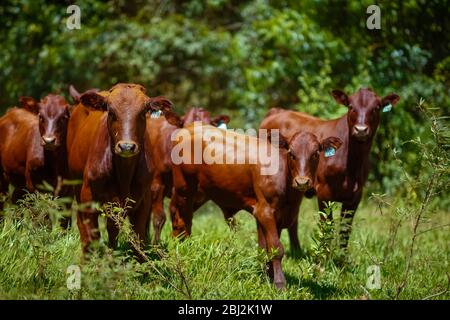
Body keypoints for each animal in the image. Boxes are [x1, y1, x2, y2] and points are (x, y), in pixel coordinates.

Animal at [0, 93, 71, 225]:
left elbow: (64, 220)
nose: (48, 140)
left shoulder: (67, 190)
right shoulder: (33, 185)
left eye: (63, 117)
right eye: (41, 116)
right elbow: (39, 217)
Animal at [66, 82, 172, 255]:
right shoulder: (88, 195)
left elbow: (138, 239)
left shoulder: (143, 200)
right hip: (76, 186)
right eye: (111, 111)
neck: (124, 175)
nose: (126, 146)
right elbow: (92, 235)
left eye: (143, 112)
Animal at [169, 124, 342, 288]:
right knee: (181, 222)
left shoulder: (277, 216)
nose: (302, 182)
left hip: (201, 192)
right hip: (185, 188)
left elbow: (266, 248)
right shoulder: (264, 211)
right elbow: (276, 248)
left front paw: (268, 278)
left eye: (316, 153)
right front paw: (280, 283)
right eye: (291, 153)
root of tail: (188, 128)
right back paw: (182, 253)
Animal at [260, 87, 400, 252]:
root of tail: (277, 111)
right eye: (351, 106)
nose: (360, 130)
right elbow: (327, 227)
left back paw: (297, 250)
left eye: (376, 108)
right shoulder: (323, 192)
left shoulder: (355, 196)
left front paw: (341, 257)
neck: (351, 164)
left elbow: (345, 231)